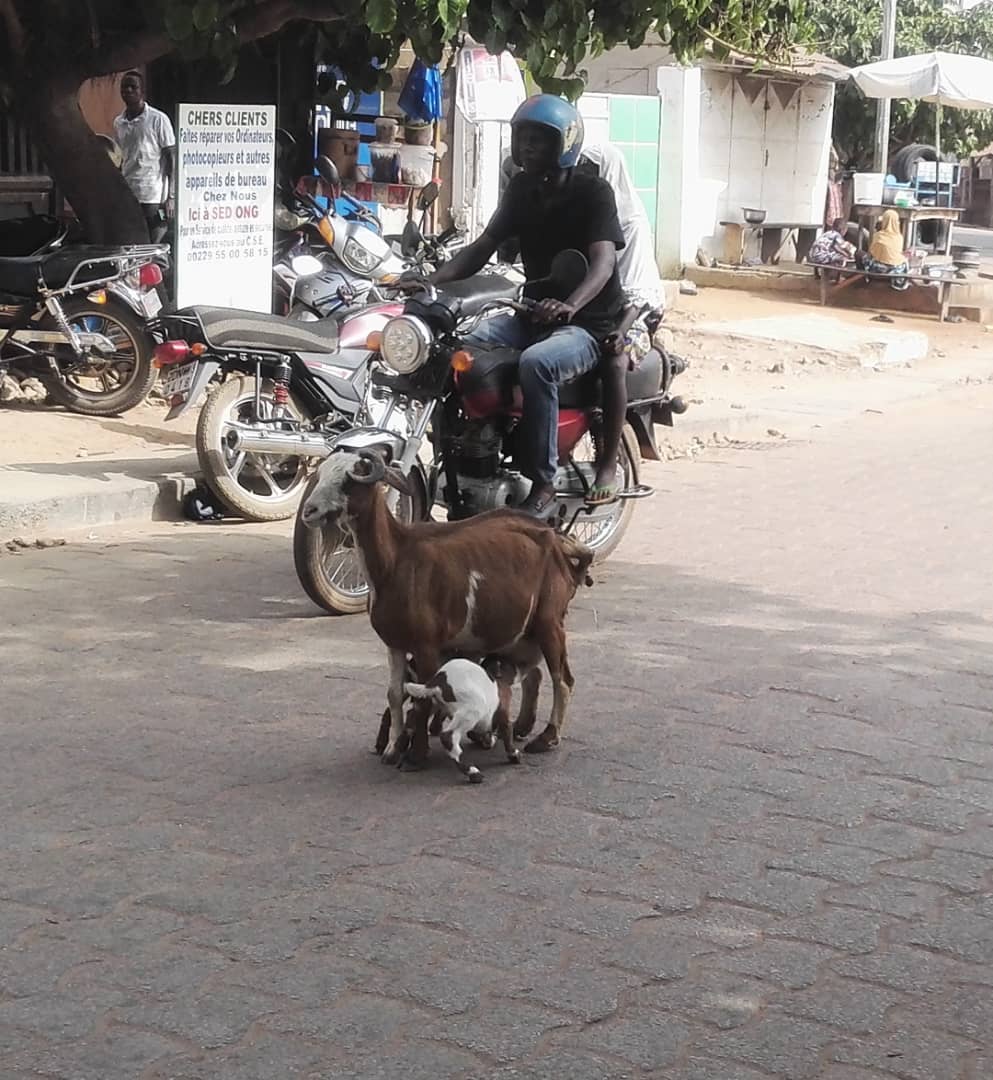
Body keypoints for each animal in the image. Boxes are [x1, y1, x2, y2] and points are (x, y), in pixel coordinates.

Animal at [298, 451, 592, 764]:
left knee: (563, 679)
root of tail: (558, 541)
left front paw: (417, 755)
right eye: (321, 475)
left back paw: (546, 738)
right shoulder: (395, 644)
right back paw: (520, 727)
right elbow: (394, 693)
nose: (309, 511)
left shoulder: (427, 645)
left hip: (550, 619)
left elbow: (423, 698)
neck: (396, 560)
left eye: (348, 481)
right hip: (522, 630)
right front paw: (392, 748)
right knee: (532, 675)